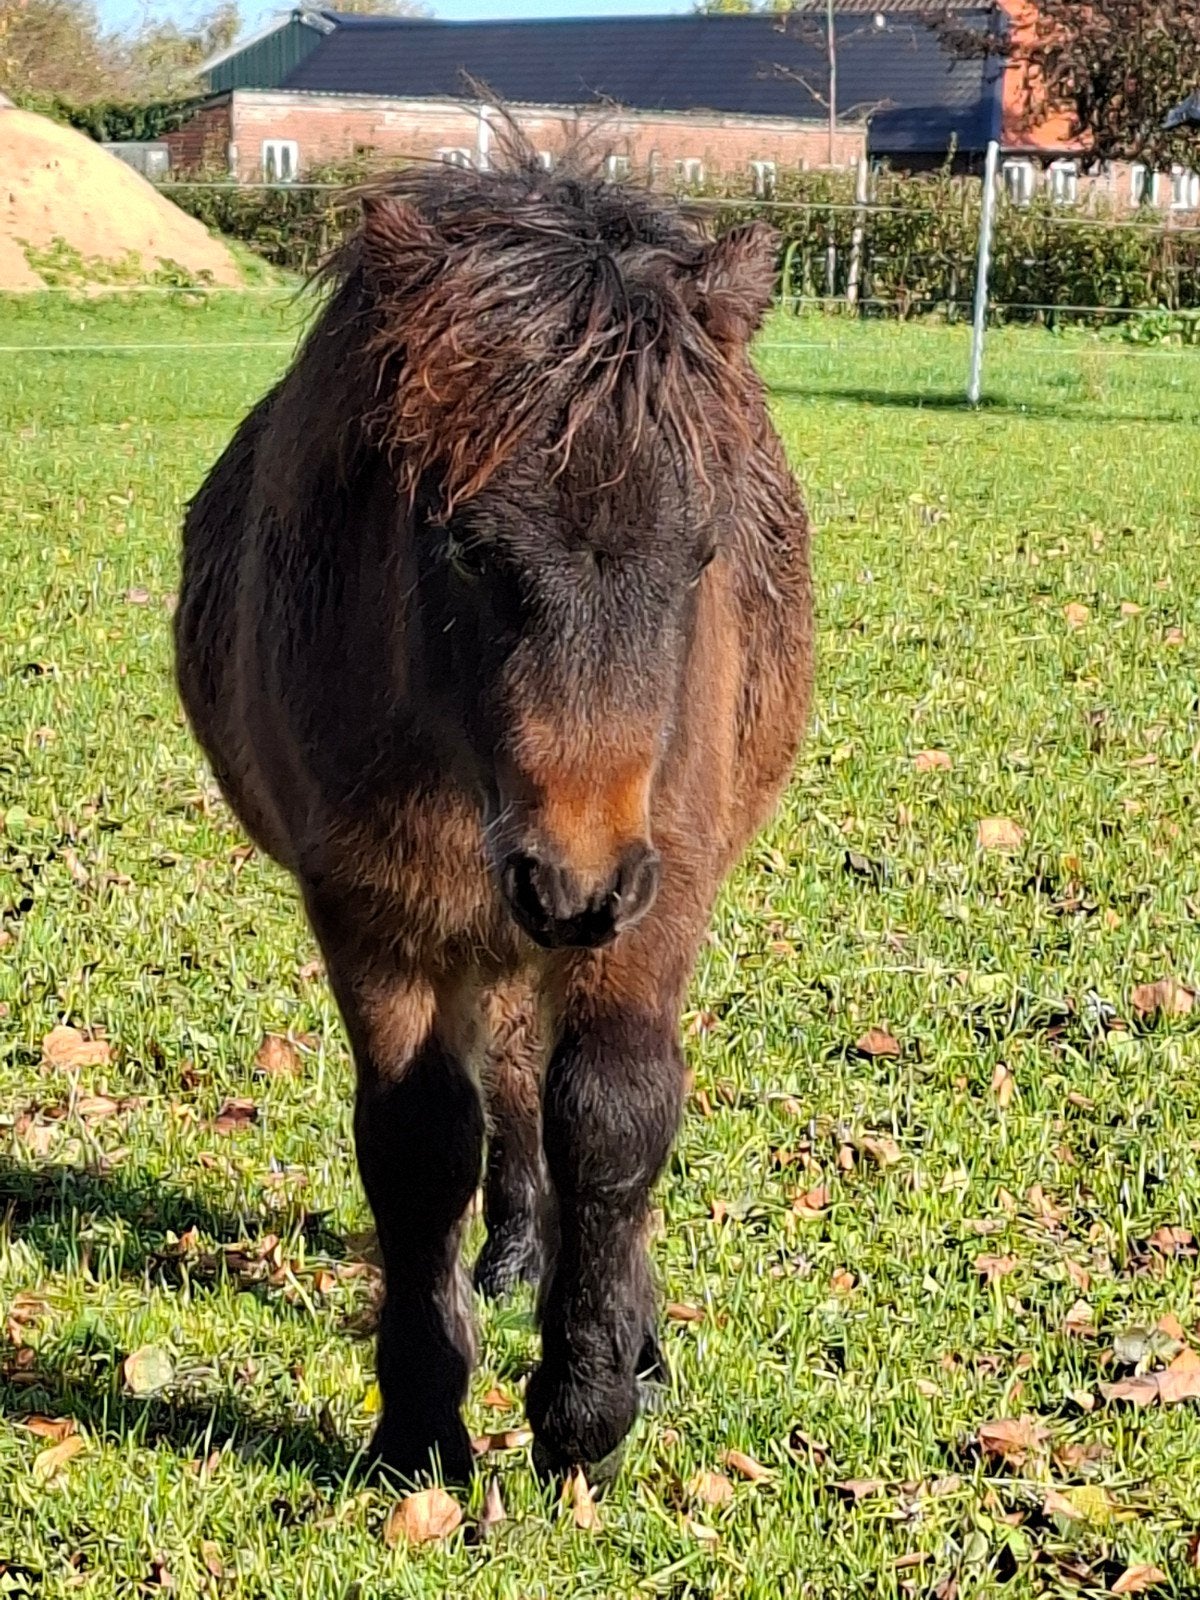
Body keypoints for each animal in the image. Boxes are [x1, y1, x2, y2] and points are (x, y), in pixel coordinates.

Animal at [174, 139, 814, 1488]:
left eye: (702, 554)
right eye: (465, 548)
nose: (573, 876)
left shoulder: (657, 892)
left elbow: (617, 1113)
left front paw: (589, 1401)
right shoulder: (377, 913)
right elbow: (422, 1145)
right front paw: (422, 1422)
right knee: (510, 1080)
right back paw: (516, 1251)